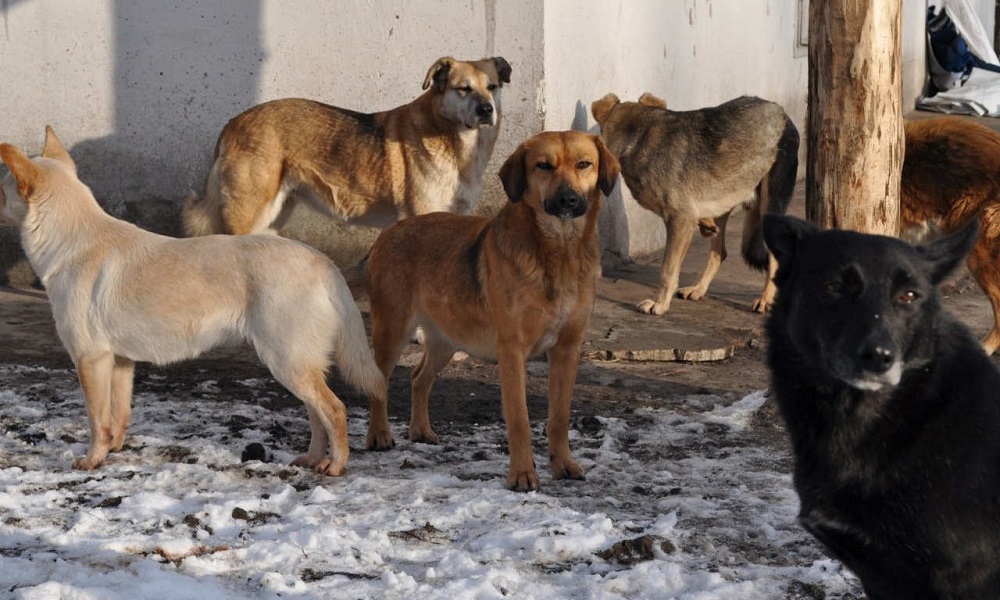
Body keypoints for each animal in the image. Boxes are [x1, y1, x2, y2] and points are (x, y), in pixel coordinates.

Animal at [0, 126, 386, 474]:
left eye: (1, 190)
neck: (73, 240)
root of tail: (323, 261)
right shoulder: (121, 362)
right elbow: (119, 416)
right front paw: (114, 451)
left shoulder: (90, 359)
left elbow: (97, 420)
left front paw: (92, 460)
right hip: (298, 364)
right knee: (317, 414)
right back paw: (312, 459)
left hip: (287, 361)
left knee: (334, 410)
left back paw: (336, 466)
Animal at [186, 55, 516, 236]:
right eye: (464, 89)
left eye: (492, 87)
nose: (486, 110)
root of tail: (232, 124)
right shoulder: (422, 216)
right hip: (249, 214)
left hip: (271, 218)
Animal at [364, 131, 620, 492]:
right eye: (543, 166)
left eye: (584, 164)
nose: (568, 200)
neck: (558, 252)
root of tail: (388, 232)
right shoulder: (512, 351)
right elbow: (519, 419)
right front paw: (522, 475)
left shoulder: (567, 350)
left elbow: (559, 417)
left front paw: (562, 465)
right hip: (392, 330)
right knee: (379, 382)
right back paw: (379, 435)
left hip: (447, 339)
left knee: (418, 378)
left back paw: (420, 430)